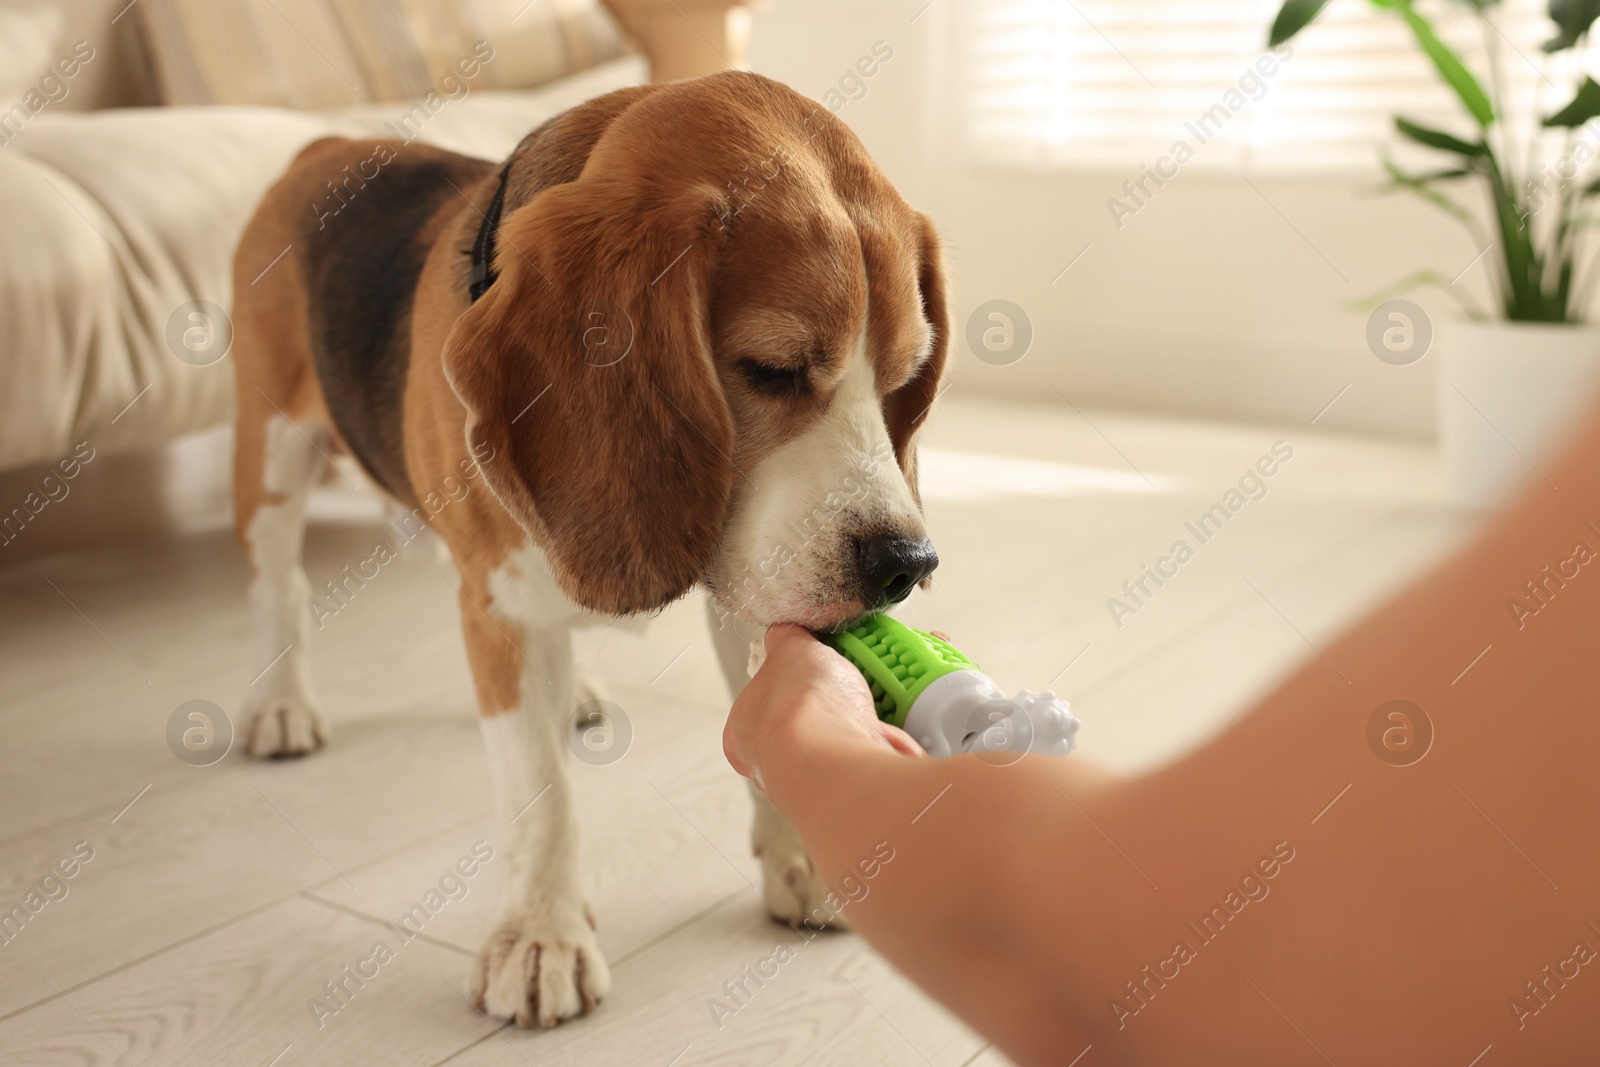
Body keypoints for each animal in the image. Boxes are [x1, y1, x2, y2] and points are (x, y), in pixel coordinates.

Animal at [232, 70, 940, 1030]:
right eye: (772, 369)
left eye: (906, 379)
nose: (905, 563)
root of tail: (328, 147)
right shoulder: (501, 607)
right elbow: (540, 791)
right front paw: (540, 937)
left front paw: (801, 854)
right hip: (270, 454)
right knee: (280, 584)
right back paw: (281, 703)